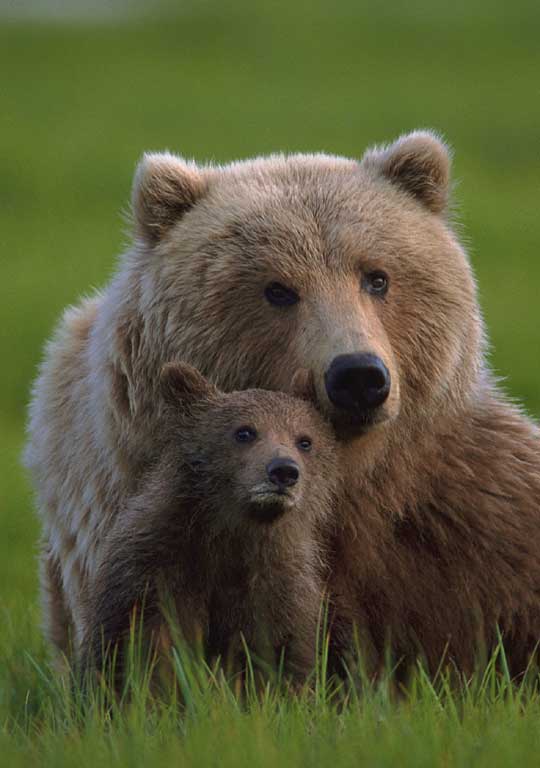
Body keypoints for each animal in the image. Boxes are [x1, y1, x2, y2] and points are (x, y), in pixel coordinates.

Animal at [79, 362, 339, 683]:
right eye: (244, 431)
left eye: (304, 440)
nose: (283, 471)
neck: (231, 533)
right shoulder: (154, 576)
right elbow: (149, 653)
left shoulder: (278, 591)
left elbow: (281, 659)